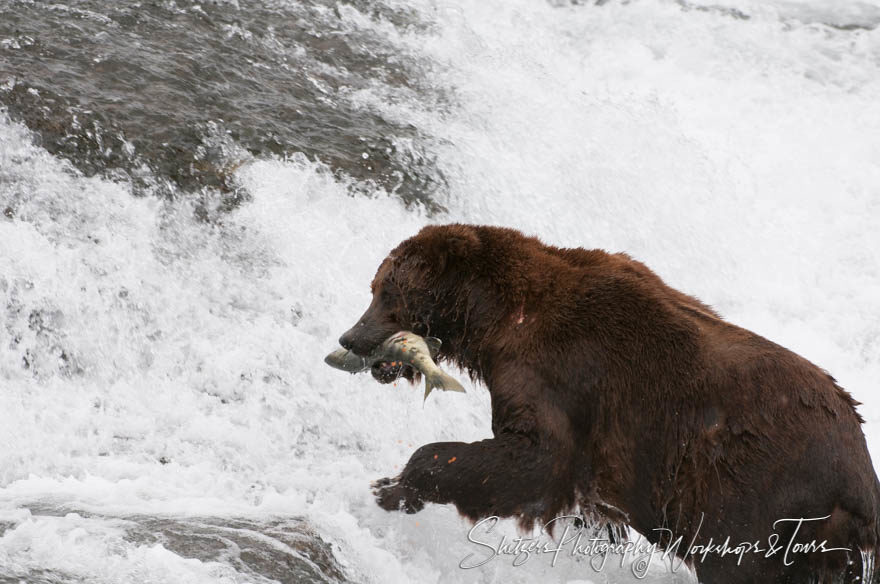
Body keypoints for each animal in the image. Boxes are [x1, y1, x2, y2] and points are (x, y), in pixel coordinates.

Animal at [336, 224, 880, 584]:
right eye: (374, 287)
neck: (498, 322)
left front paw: (393, 485)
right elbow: (586, 501)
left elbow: (532, 460)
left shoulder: (564, 377)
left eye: (387, 293)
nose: (350, 337)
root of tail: (860, 479)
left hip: (757, 496)